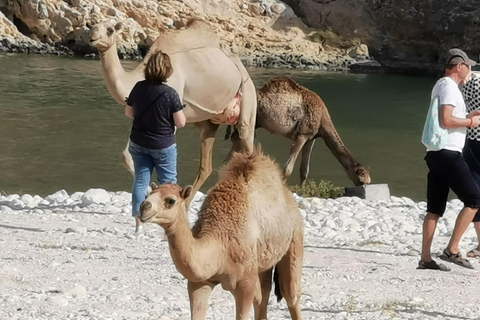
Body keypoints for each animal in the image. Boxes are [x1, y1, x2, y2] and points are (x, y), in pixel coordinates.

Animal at [88, 18, 256, 198]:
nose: (93, 37)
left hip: (248, 98)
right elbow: (126, 156)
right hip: (209, 122)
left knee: (247, 143)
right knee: (208, 165)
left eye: (110, 30)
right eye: (91, 27)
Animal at [139, 148, 304, 320]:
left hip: (295, 237)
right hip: (264, 261)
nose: (144, 207)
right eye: (148, 195)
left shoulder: (245, 284)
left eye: (170, 201)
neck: (220, 245)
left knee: (290, 294)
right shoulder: (199, 283)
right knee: (263, 296)